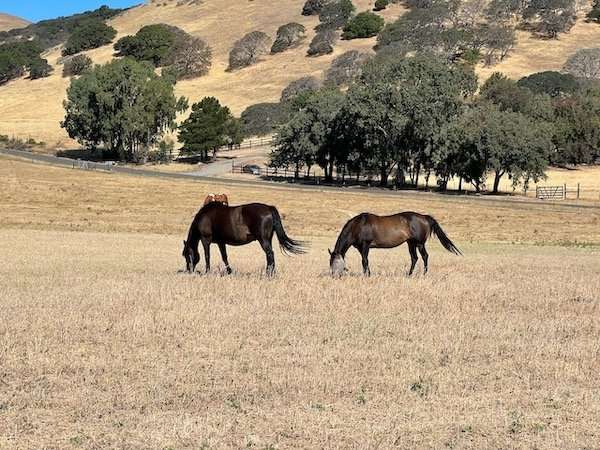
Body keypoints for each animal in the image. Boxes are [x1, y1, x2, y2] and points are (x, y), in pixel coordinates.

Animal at [330, 212, 462, 278]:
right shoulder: (360, 248)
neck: (358, 226)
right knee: (414, 258)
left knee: (425, 256)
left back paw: (424, 274)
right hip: (411, 243)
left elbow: (365, 261)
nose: (333, 276)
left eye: (335, 263)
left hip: (419, 243)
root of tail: (424, 217)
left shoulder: (365, 245)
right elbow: (364, 261)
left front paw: (367, 275)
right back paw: (409, 275)